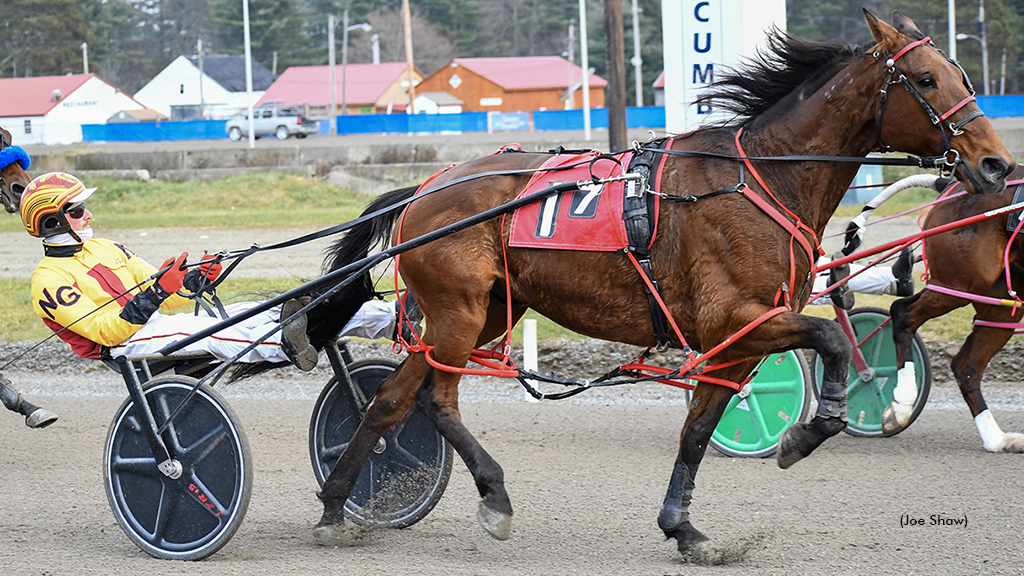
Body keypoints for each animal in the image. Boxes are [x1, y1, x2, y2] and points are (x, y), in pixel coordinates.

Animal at [301, 12, 1007, 561]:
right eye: (925, 80)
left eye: (965, 77)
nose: (996, 164)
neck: (763, 178)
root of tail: (423, 189)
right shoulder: (736, 316)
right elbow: (831, 339)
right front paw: (808, 432)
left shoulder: (739, 338)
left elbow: (698, 429)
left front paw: (684, 528)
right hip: (457, 311)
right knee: (438, 399)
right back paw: (491, 497)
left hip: (491, 311)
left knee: (390, 399)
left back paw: (336, 506)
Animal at [888, 165, 1024, 448]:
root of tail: (954, 186)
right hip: (957, 284)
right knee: (902, 313)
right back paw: (902, 404)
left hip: (1000, 306)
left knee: (967, 368)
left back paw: (995, 438)